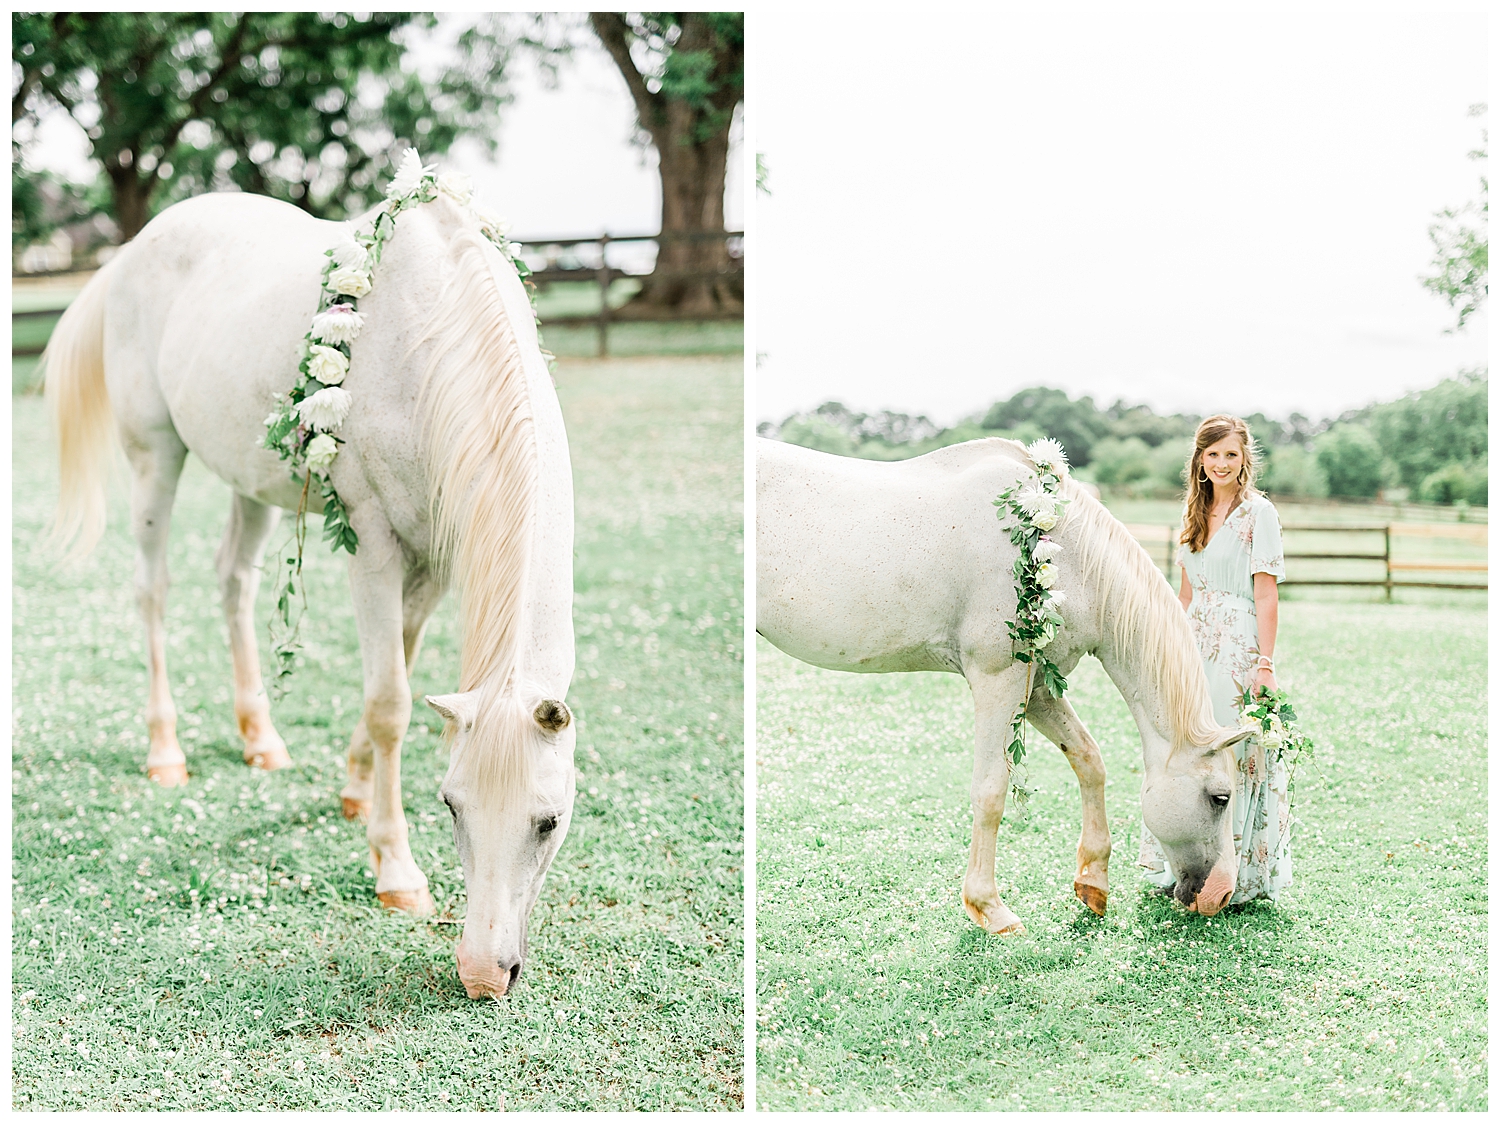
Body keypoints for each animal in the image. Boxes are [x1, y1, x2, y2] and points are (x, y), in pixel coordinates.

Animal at [43, 190, 575, 999]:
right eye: (451, 806)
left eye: (548, 822)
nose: (486, 975)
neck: (431, 329)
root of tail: (139, 244)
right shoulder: (375, 544)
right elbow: (389, 702)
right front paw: (395, 869)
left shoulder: (432, 560)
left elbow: (400, 674)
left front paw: (355, 790)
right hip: (154, 458)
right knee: (152, 591)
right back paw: (165, 750)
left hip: (253, 480)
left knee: (232, 581)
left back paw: (259, 737)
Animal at [756, 436, 1250, 932]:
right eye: (1220, 798)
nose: (1223, 895)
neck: (1066, 550)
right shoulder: (1000, 681)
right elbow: (991, 792)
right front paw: (989, 908)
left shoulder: (1038, 689)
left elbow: (1089, 760)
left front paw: (1093, 882)